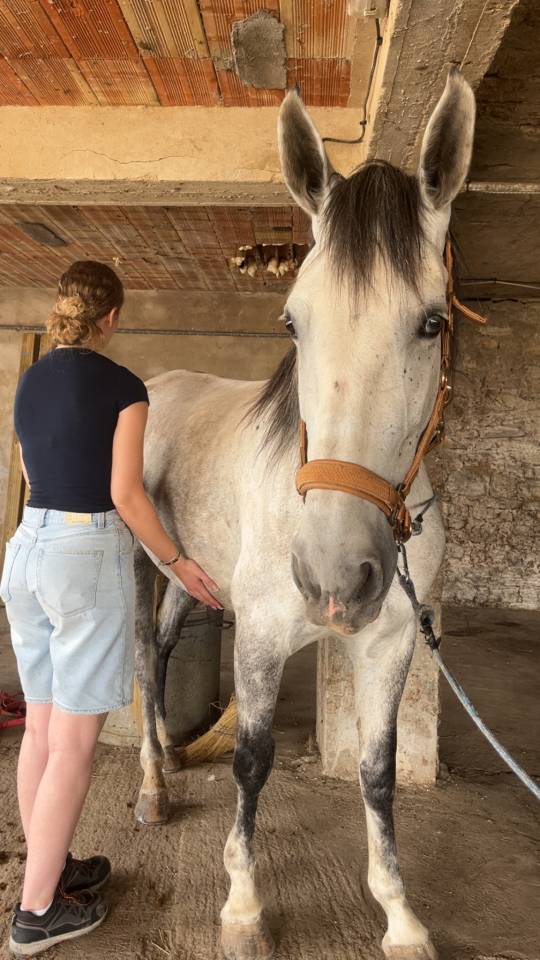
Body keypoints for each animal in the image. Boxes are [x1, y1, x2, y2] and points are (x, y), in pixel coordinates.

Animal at [133, 69, 476, 960]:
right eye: (292, 320)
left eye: (433, 321)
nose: (333, 577)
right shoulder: (258, 638)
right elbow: (252, 760)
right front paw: (243, 907)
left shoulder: (391, 644)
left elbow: (377, 771)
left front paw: (399, 914)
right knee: (143, 659)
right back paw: (151, 788)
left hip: (189, 576)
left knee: (164, 651)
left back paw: (168, 764)